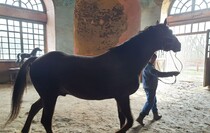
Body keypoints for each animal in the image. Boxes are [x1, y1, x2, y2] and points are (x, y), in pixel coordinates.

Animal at [6, 19, 180, 132]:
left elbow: (123, 120)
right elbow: (129, 122)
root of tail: (36, 59)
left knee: (34, 109)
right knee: (45, 120)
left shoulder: (119, 98)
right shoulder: (123, 96)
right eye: (168, 33)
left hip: (48, 95)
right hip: (50, 97)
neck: (125, 60)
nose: (179, 45)